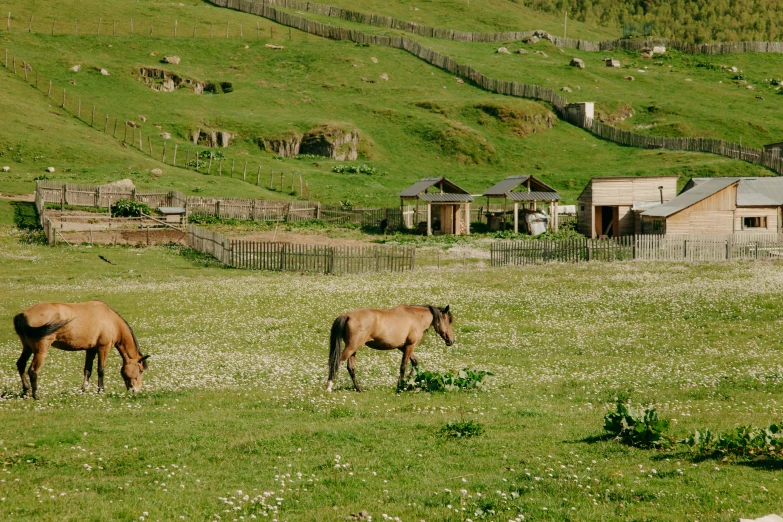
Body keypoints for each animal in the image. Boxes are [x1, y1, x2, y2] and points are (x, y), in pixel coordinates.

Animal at [12, 298, 150, 396]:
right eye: (140, 370)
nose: (135, 390)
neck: (111, 320)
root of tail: (23, 314)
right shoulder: (103, 348)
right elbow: (101, 370)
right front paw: (101, 390)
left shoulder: (91, 349)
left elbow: (87, 370)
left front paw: (83, 390)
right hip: (40, 350)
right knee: (33, 370)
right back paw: (36, 395)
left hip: (28, 348)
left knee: (21, 364)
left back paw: (26, 390)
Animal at [328, 304, 456, 390]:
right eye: (448, 322)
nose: (452, 340)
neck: (415, 317)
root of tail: (347, 316)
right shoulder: (410, 346)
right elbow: (403, 366)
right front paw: (400, 385)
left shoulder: (402, 347)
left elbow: (414, 362)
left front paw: (408, 381)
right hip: (352, 347)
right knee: (336, 362)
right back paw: (328, 387)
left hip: (353, 349)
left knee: (351, 368)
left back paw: (359, 389)